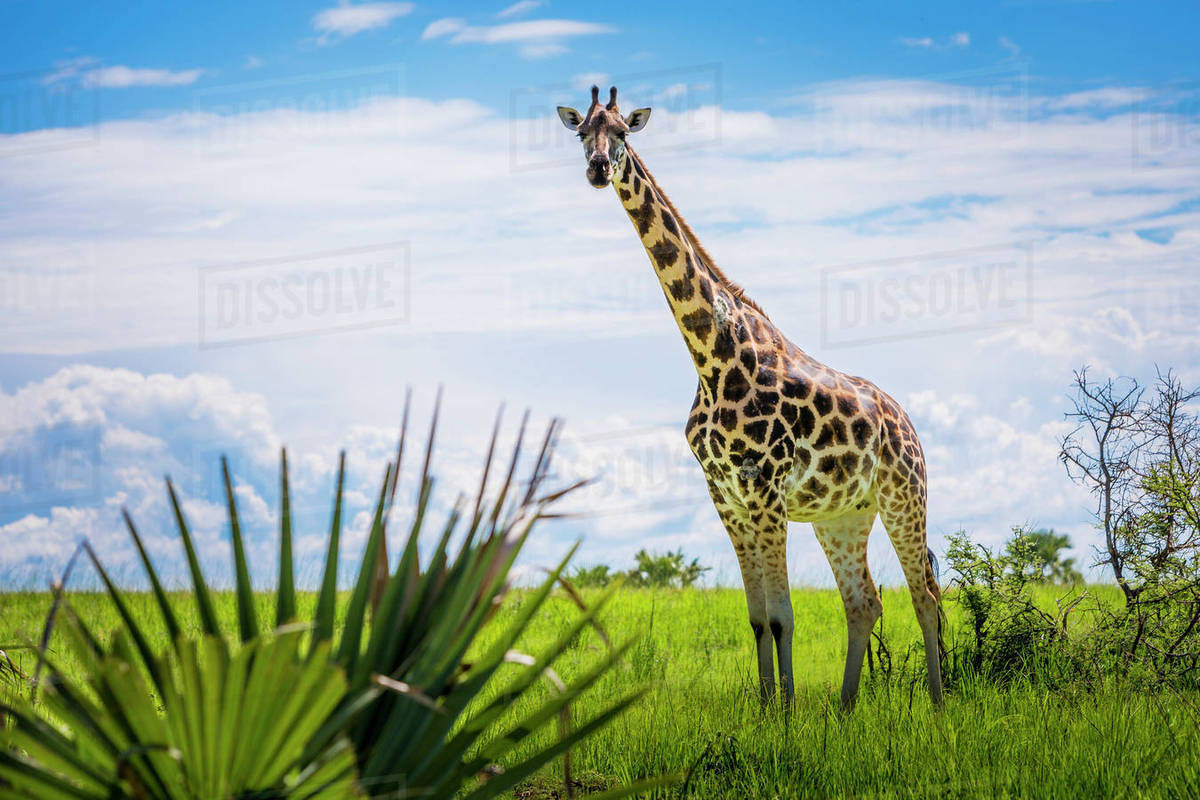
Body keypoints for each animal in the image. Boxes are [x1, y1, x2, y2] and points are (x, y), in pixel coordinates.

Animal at [557, 86, 944, 708]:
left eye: (623, 132)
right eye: (582, 131)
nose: (596, 170)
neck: (711, 357)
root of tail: (907, 423)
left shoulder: (763, 488)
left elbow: (783, 615)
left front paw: (786, 712)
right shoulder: (726, 496)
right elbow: (759, 618)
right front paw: (768, 708)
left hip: (905, 495)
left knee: (924, 594)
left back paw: (935, 704)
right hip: (844, 515)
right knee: (864, 602)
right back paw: (844, 709)